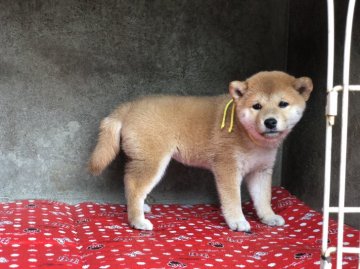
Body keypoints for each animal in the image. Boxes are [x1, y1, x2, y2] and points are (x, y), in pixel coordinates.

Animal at [88, 70, 312, 230]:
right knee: (134, 185)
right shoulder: (227, 167)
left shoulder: (260, 171)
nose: (270, 122)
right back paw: (137, 221)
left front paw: (268, 217)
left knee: (130, 183)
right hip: (152, 161)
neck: (250, 138)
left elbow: (263, 198)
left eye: (283, 104)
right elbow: (233, 199)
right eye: (257, 106)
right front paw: (237, 221)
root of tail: (129, 107)